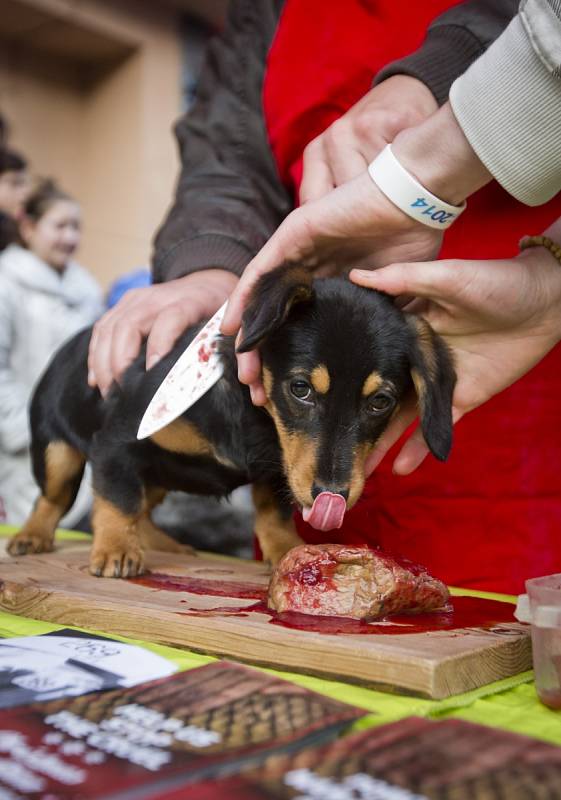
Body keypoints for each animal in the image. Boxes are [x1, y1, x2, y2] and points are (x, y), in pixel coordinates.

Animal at [7, 268, 456, 576]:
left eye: (380, 402)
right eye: (300, 388)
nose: (332, 495)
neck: (258, 421)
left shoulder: (279, 469)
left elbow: (273, 513)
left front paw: (287, 549)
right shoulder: (118, 443)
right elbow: (118, 499)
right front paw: (117, 549)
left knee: (145, 508)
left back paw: (164, 544)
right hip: (58, 455)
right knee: (52, 499)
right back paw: (32, 536)